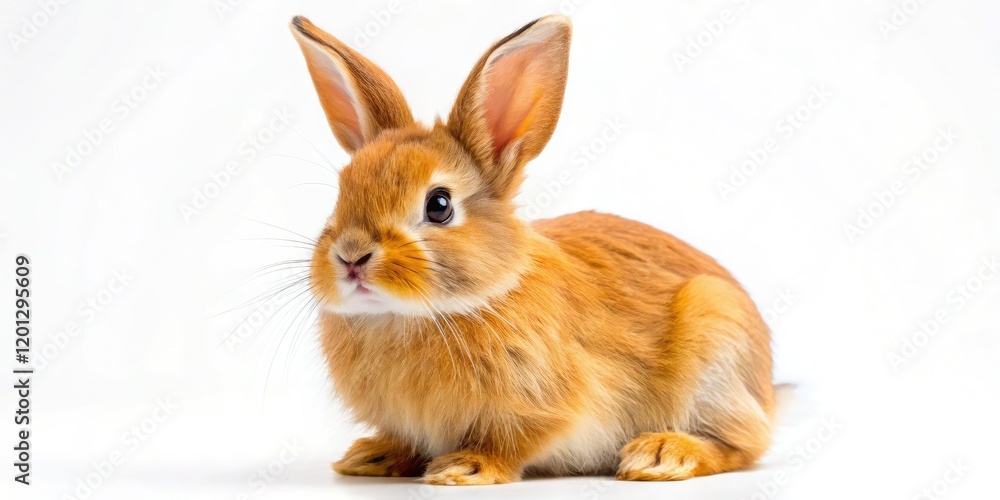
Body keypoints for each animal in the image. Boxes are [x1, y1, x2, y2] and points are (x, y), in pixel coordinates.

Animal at [289, 14, 774, 485]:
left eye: (439, 205)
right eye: (341, 193)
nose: (351, 257)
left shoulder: (544, 407)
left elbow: (510, 442)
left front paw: (466, 468)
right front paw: (374, 455)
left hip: (716, 345)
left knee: (742, 444)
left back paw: (662, 455)